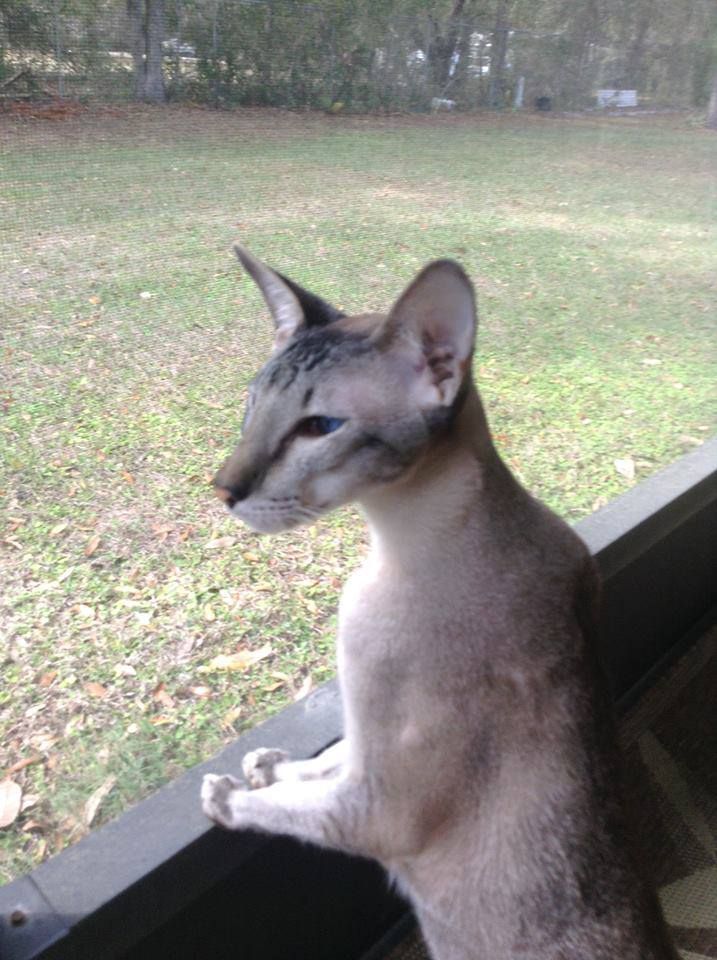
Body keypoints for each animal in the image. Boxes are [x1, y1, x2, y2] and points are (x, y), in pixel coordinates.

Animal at [201, 248, 676, 960]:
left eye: (319, 428)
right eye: (251, 405)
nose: (223, 491)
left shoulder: (373, 808)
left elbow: (295, 807)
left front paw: (230, 795)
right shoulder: (363, 746)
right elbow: (328, 757)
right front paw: (270, 765)